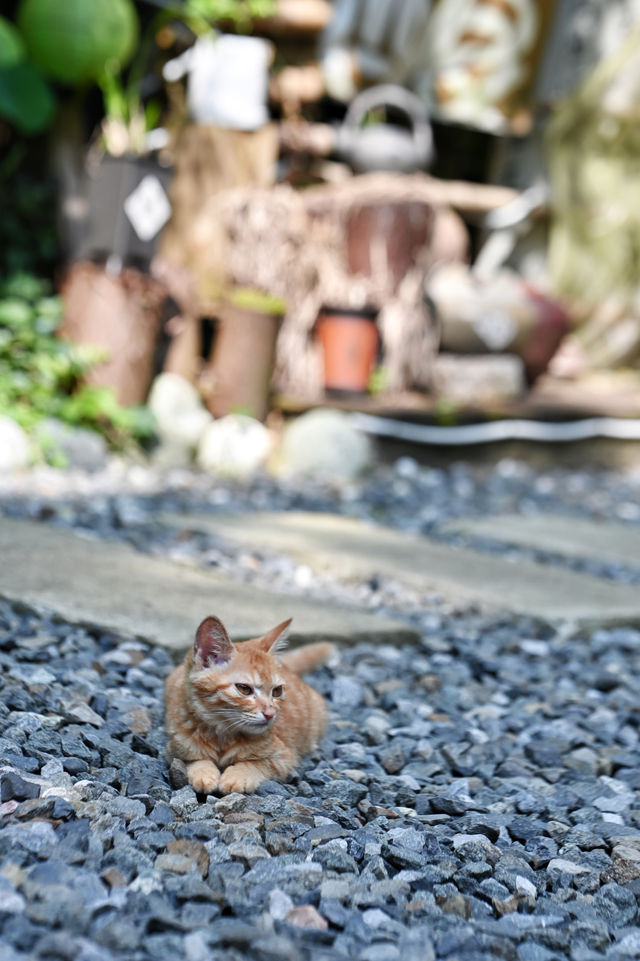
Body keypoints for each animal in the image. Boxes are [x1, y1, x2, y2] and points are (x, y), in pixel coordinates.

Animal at [164, 616, 336, 796]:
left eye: (277, 691)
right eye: (244, 689)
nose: (270, 713)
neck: (222, 734)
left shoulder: (284, 758)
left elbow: (257, 763)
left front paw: (237, 776)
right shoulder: (174, 749)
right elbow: (194, 758)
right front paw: (203, 773)